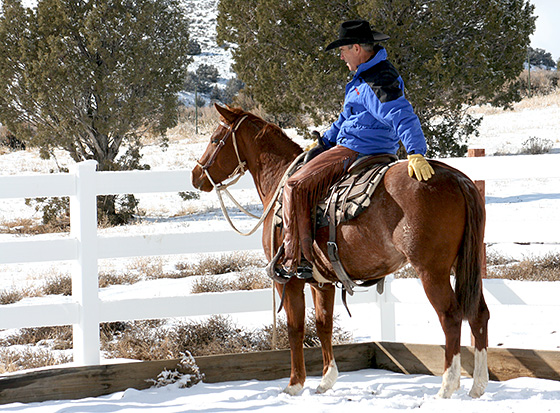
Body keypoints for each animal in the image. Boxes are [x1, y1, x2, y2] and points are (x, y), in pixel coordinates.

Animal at [192, 104, 490, 400]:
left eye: (215, 140)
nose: (196, 175)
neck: (280, 185)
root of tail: (457, 178)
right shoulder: (321, 281)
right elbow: (324, 324)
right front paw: (326, 380)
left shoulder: (288, 280)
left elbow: (295, 328)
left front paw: (294, 384)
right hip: (464, 264)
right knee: (479, 314)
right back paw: (477, 386)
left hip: (431, 271)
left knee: (450, 316)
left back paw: (447, 386)